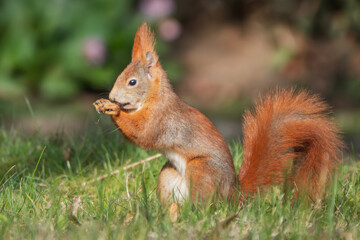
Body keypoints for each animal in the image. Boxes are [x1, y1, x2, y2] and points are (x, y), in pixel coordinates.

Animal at [93, 22, 344, 203]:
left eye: (132, 82)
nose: (113, 97)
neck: (154, 98)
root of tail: (233, 194)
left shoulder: (162, 118)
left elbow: (142, 133)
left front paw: (112, 109)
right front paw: (104, 104)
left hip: (202, 170)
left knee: (204, 206)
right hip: (169, 174)